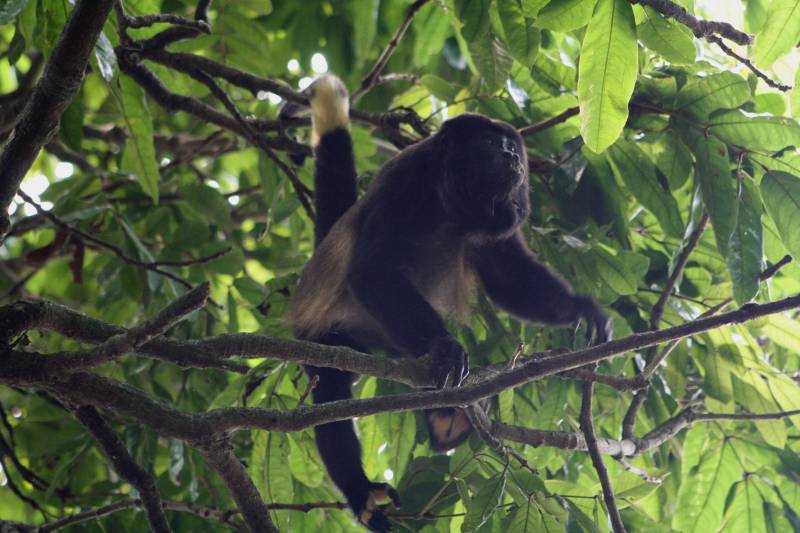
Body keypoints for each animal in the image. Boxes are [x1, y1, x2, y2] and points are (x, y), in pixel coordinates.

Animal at [282, 74, 612, 528]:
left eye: (509, 145)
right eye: (490, 143)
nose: (512, 153)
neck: (452, 205)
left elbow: (508, 277)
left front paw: (584, 308)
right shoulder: (406, 182)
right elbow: (372, 268)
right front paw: (446, 348)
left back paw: (447, 421)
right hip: (325, 335)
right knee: (330, 394)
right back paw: (361, 491)